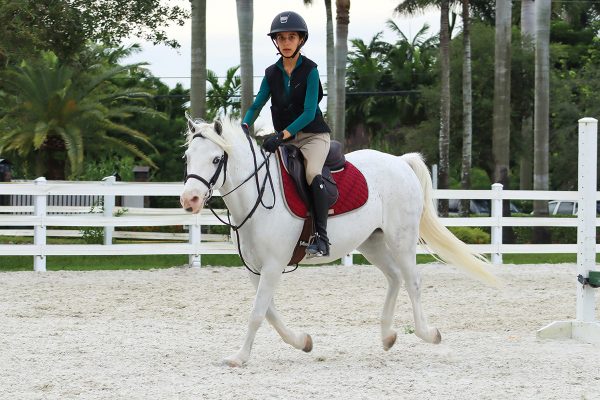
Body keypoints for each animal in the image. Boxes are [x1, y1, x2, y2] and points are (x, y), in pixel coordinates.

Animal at [179, 117, 496, 368]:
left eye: (216, 159)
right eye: (188, 157)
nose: (189, 200)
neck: (258, 197)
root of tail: (399, 162)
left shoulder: (272, 266)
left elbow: (257, 313)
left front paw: (239, 358)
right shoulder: (256, 269)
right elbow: (268, 312)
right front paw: (303, 341)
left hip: (401, 239)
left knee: (412, 281)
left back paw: (428, 334)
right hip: (372, 242)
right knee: (394, 278)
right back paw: (387, 336)